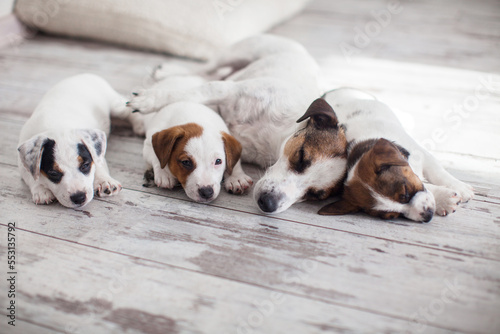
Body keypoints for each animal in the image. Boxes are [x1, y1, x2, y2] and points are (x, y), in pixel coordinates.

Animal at [17, 73, 137, 209]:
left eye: (85, 166)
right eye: (53, 173)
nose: (79, 198)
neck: (58, 125)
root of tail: (83, 75)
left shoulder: (95, 150)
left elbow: (99, 163)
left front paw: (104, 181)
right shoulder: (22, 161)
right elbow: (31, 175)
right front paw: (41, 190)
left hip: (116, 106)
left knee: (129, 110)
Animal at [127, 35, 348, 214]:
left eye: (314, 194)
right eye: (301, 157)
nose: (269, 204)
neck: (275, 138)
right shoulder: (230, 90)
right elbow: (196, 91)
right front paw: (148, 101)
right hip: (238, 53)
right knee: (205, 68)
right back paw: (165, 72)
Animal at [318, 88, 474, 222]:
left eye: (405, 192)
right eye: (392, 216)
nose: (428, 215)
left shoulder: (423, 155)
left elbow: (437, 173)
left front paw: (460, 188)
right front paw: (444, 199)